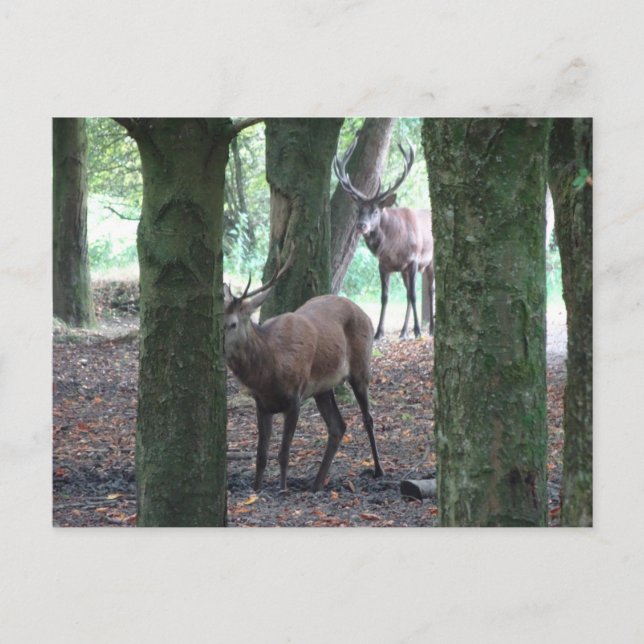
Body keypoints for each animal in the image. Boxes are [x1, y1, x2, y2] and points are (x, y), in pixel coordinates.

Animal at [223, 250, 384, 493]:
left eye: (232, 324)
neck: (269, 371)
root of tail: (364, 312)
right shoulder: (261, 403)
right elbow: (261, 455)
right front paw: (257, 489)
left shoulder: (294, 398)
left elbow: (283, 453)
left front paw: (282, 489)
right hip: (322, 388)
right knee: (338, 426)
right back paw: (316, 483)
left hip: (361, 368)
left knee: (368, 418)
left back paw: (378, 470)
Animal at [334, 136, 434, 340]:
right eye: (358, 210)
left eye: (375, 211)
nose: (361, 225)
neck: (393, 247)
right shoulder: (384, 265)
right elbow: (385, 297)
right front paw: (379, 332)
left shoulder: (414, 260)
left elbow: (414, 295)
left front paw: (418, 330)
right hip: (404, 271)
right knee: (408, 293)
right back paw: (403, 332)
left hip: (431, 261)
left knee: (429, 290)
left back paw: (431, 328)